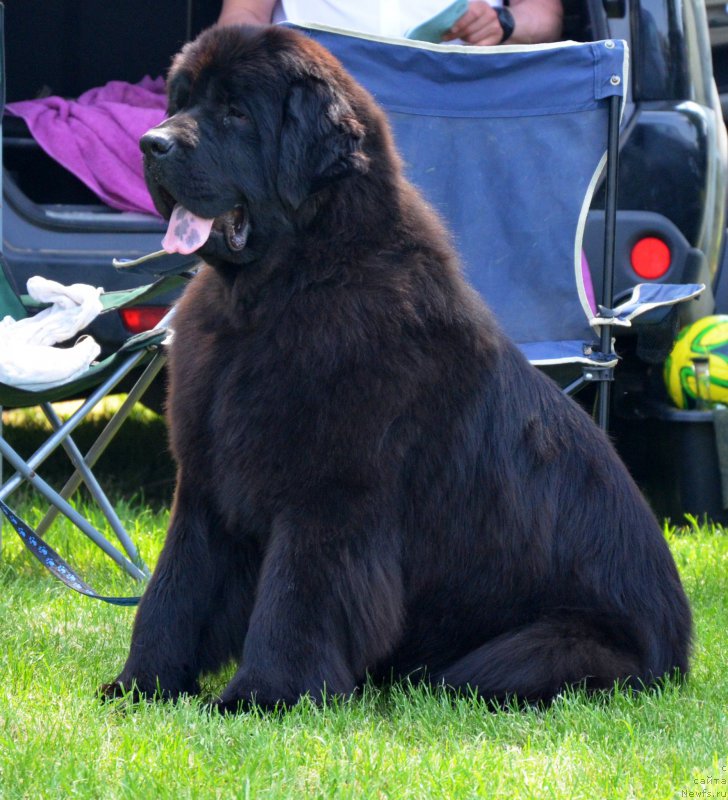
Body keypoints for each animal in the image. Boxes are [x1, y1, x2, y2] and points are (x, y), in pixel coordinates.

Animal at [101, 26, 688, 712]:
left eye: (236, 113)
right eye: (183, 101)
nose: (151, 143)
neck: (277, 296)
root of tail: (681, 651)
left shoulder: (329, 499)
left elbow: (292, 604)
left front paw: (263, 696)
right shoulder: (205, 487)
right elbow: (173, 592)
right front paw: (140, 685)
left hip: (534, 653)